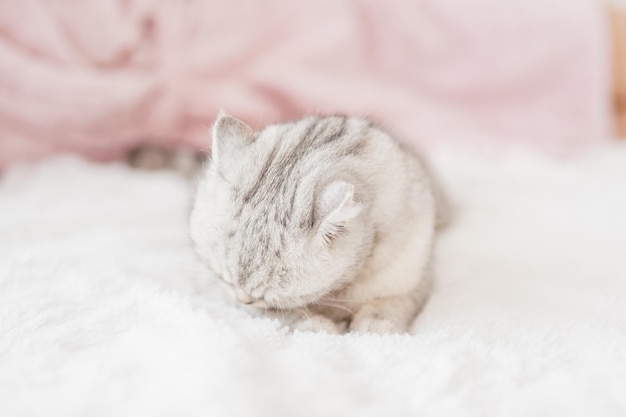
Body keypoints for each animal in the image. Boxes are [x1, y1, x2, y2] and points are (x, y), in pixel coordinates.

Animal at [188, 112, 446, 334]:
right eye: (223, 278)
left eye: (267, 295)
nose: (243, 298)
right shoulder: (216, 290)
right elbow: (283, 316)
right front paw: (316, 325)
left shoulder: (419, 273)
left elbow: (397, 301)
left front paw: (376, 323)